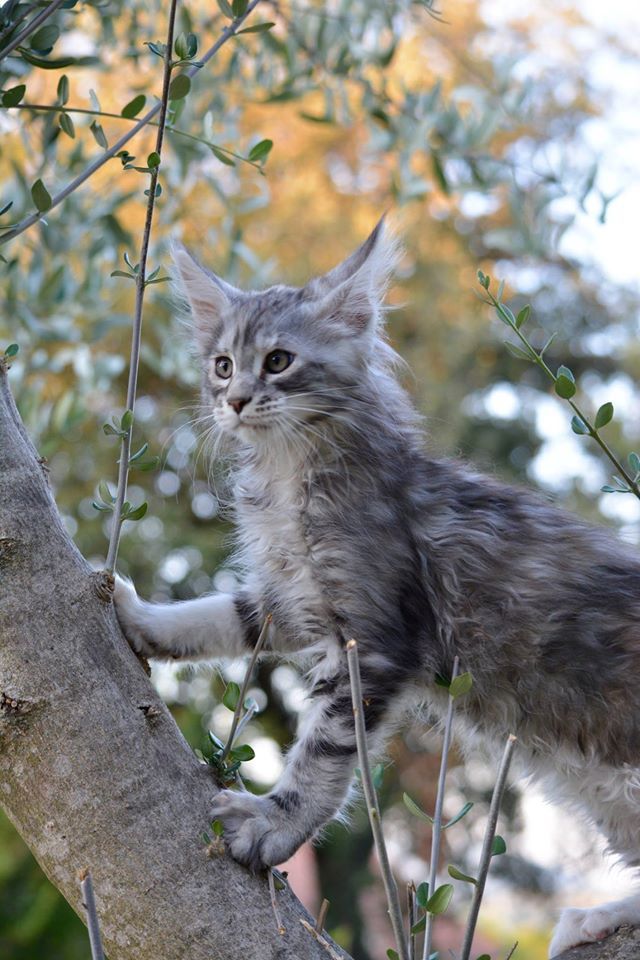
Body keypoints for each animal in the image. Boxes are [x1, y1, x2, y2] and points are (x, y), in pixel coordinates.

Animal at [114, 220, 640, 957]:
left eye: (278, 361)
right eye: (221, 364)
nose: (235, 401)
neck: (290, 472)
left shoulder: (378, 634)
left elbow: (323, 751)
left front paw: (274, 824)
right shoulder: (295, 600)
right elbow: (222, 615)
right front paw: (140, 618)